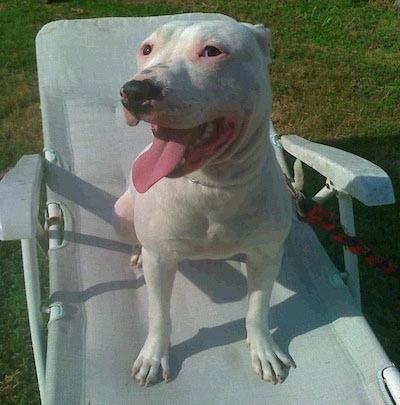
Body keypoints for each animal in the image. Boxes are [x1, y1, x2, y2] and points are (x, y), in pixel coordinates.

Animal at [112, 18, 294, 386]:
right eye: (147, 48)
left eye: (211, 51)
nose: (134, 91)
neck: (213, 186)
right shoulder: (160, 259)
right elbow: (158, 315)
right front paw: (154, 356)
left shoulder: (267, 254)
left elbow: (258, 308)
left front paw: (263, 350)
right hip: (120, 215)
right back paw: (136, 251)